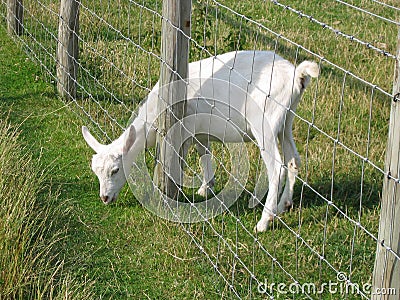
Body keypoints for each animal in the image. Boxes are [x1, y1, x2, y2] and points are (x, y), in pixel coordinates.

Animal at [82, 50, 318, 232]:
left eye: (115, 170)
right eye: (95, 171)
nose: (104, 197)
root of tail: (297, 75)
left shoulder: (182, 130)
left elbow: (180, 158)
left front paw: (172, 193)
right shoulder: (199, 130)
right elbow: (204, 152)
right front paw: (206, 187)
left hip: (264, 123)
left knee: (276, 168)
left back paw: (264, 221)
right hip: (286, 119)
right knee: (293, 160)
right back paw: (284, 204)